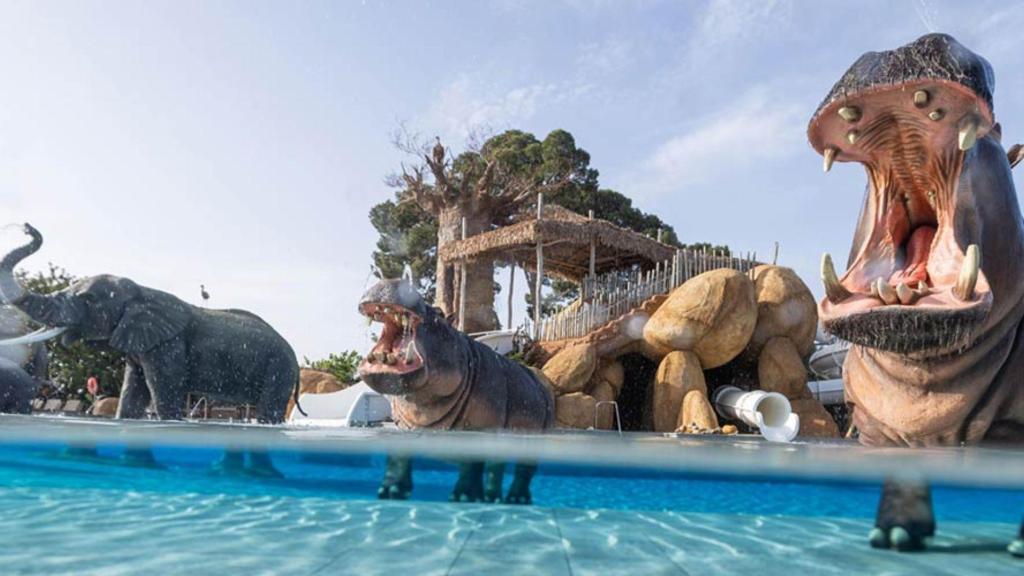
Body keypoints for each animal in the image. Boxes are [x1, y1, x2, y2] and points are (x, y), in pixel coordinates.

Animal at [0, 223, 301, 424]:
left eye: (87, 299)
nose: (27, 227)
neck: (141, 292)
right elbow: (132, 390)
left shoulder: (168, 344)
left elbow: (163, 389)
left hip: (279, 367)